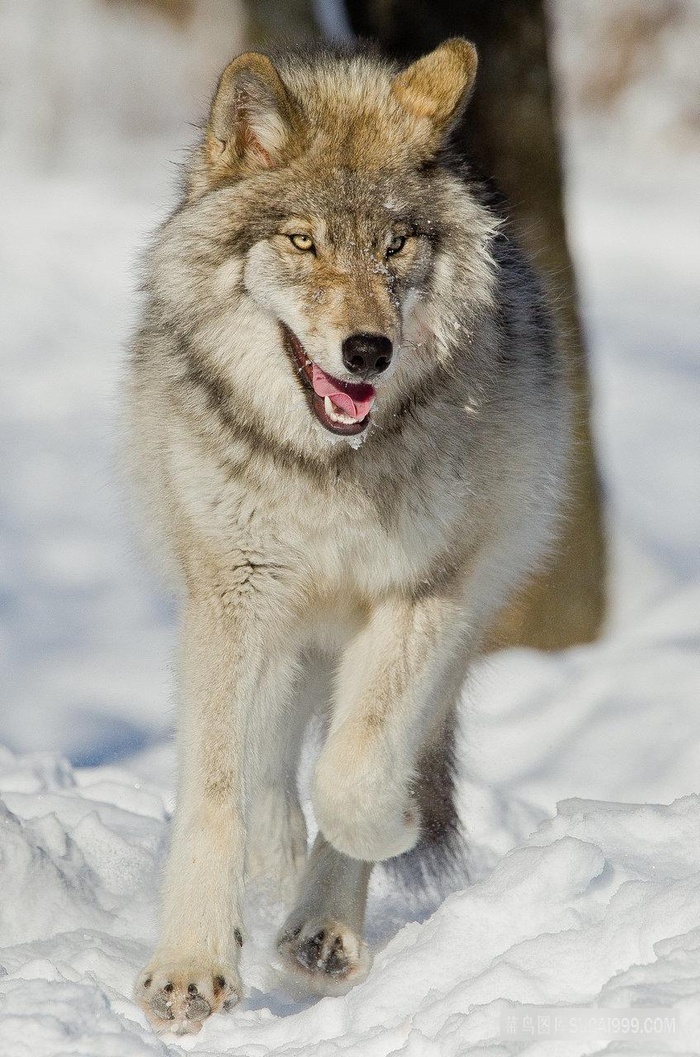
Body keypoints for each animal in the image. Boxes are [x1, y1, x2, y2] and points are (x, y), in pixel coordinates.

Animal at [126, 39, 575, 1031]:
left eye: (396, 244)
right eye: (303, 241)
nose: (369, 351)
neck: (330, 468)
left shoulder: (422, 594)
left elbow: (358, 767)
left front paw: (381, 837)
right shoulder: (233, 590)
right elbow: (215, 788)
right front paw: (192, 964)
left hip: (464, 607)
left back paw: (320, 922)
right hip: (264, 619)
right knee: (265, 751)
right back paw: (273, 860)